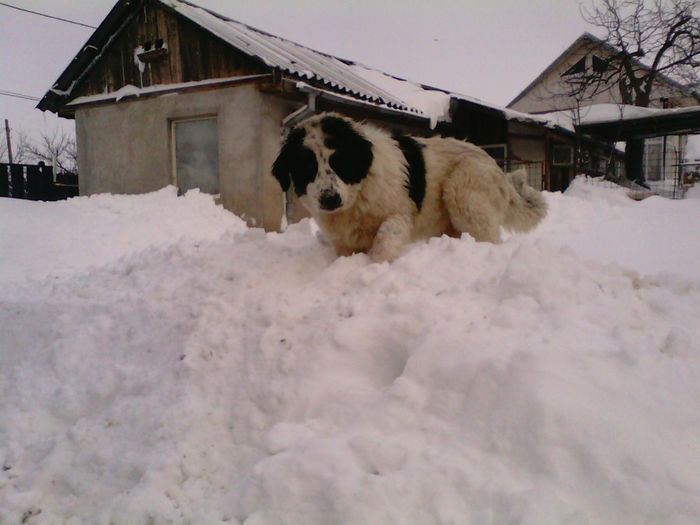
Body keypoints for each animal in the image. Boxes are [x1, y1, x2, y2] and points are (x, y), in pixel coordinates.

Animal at [270, 113, 548, 262]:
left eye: (341, 162)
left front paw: (377, 265)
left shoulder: (400, 212)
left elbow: (386, 233)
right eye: (306, 168)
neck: (358, 196)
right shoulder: (344, 242)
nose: (330, 199)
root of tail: (496, 167)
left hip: (463, 192)